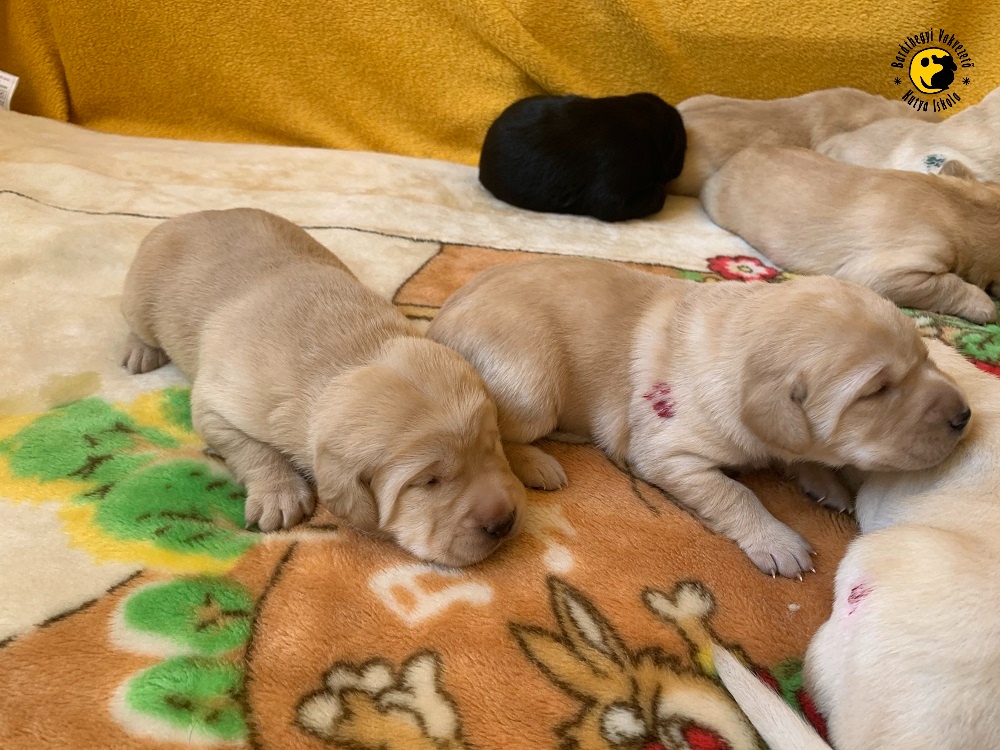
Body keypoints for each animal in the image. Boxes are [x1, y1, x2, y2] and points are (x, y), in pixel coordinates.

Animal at [120, 208, 525, 566]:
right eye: (428, 481)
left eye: (493, 445)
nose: (503, 523)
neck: (352, 354)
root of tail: (190, 216)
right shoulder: (218, 402)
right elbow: (249, 447)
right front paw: (279, 494)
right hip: (139, 297)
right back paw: (140, 352)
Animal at [427, 257, 970, 578]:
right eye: (876, 391)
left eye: (926, 358)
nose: (965, 416)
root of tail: (436, 325)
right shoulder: (669, 454)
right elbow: (736, 493)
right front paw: (776, 540)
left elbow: (796, 450)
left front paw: (824, 479)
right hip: (532, 382)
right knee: (499, 433)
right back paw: (541, 464)